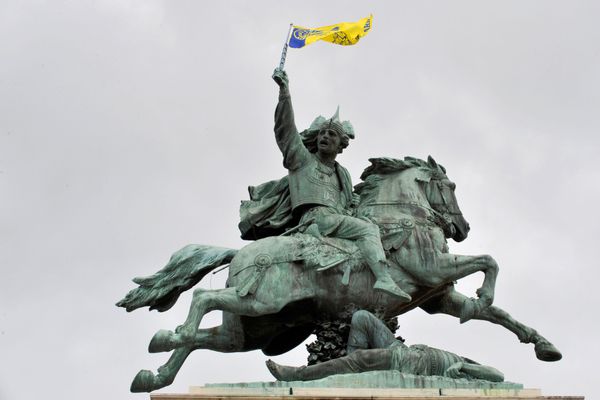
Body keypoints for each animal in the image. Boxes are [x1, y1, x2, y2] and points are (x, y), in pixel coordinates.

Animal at [117, 155, 564, 392]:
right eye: (450, 186)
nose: (462, 228)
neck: (400, 219)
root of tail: (242, 251)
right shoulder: (433, 269)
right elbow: (489, 262)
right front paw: (485, 294)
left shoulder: (440, 296)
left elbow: (496, 313)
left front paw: (544, 346)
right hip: (262, 301)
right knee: (201, 300)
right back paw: (172, 337)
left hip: (256, 328)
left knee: (212, 338)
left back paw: (155, 369)